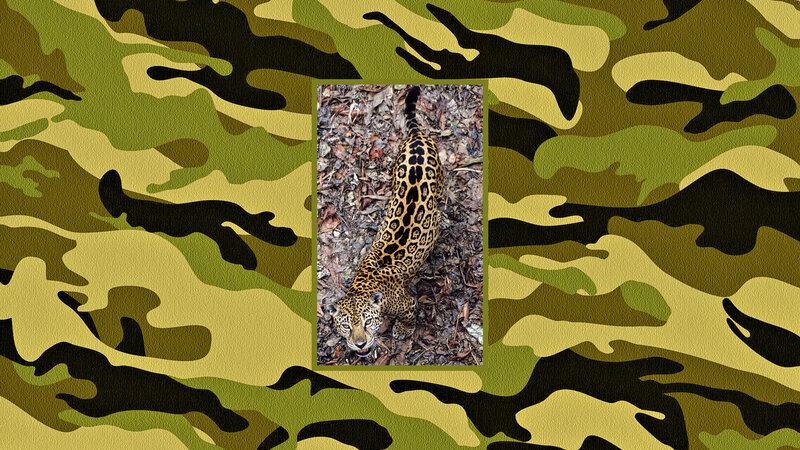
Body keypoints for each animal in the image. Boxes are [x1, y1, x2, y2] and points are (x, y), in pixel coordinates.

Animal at [330, 86, 444, 356]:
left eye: (367, 322)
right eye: (346, 326)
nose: (360, 344)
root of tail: (417, 137)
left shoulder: (407, 304)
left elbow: (409, 316)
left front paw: (403, 330)